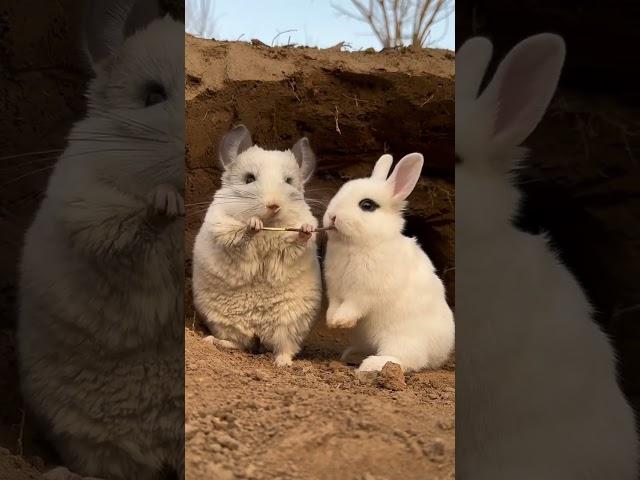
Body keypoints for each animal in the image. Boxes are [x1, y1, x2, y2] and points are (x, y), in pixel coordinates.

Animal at [189, 124, 320, 368]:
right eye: (249, 178)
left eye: (289, 181)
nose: (274, 205)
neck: (269, 228)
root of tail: (259, 331)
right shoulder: (221, 228)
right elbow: (240, 236)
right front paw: (253, 224)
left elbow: (298, 241)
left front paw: (305, 229)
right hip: (225, 322)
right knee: (241, 344)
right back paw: (212, 341)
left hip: (289, 324)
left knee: (284, 348)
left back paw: (283, 363)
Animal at [322, 152, 452, 374]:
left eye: (367, 205)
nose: (332, 216)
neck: (354, 246)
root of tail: (440, 353)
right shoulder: (335, 289)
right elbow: (334, 304)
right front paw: (331, 321)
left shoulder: (366, 292)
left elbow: (353, 305)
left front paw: (341, 321)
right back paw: (352, 355)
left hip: (401, 338)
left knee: (408, 360)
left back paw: (373, 365)